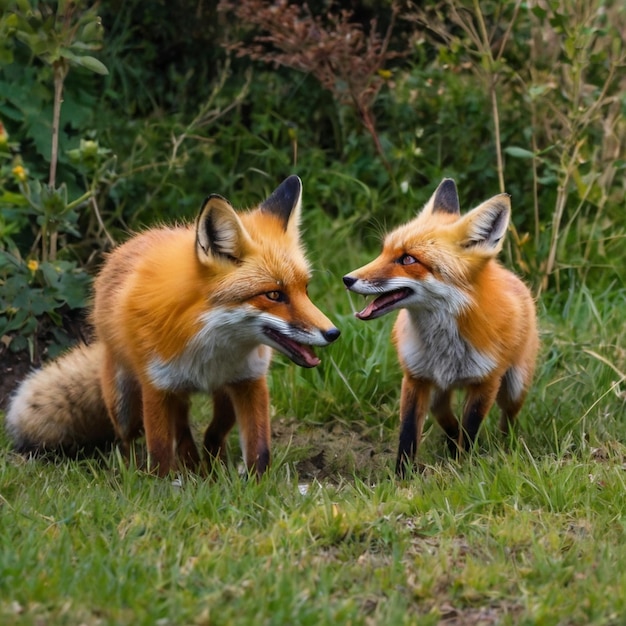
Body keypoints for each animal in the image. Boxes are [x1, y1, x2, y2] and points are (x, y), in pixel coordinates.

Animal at [4, 173, 338, 476]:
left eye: (305, 290)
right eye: (274, 294)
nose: (333, 333)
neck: (210, 343)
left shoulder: (250, 381)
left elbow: (259, 449)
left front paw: (256, 486)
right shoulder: (157, 387)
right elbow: (162, 450)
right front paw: (162, 486)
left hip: (223, 395)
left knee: (211, 431)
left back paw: (208, 466)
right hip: (126, 403)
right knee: (135, 439)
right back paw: (145, 470)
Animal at [342, 178, 536, 476]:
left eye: (408, 259)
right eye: (383, 252)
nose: (347, 279)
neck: (445, 346)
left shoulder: (487, 383)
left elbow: (470, 430)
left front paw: (464, 466)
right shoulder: (415, 378)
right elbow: (408, 433)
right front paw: (402, 477)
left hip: (515, 387)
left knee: (508, 418)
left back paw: (507, 445)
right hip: (437, 392)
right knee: (445, 415)